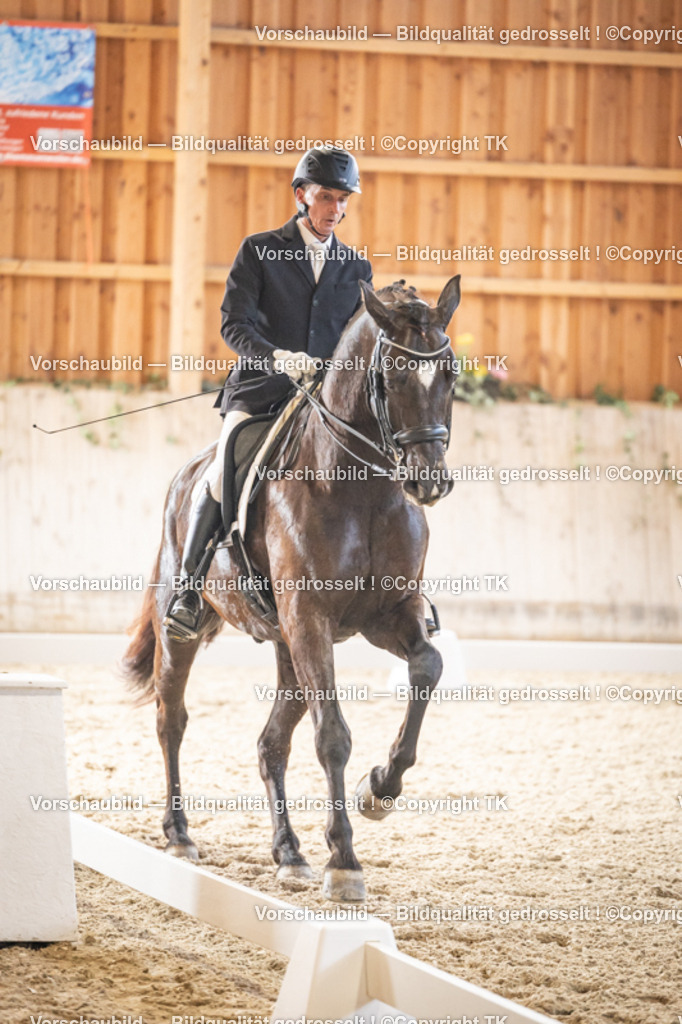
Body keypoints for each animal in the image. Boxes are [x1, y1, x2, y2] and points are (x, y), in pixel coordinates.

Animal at [122, 274, 461, 903]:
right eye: (393, 377)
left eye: (450, 373)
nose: (428, 481)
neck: (361, 489)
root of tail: (185, 476)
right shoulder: (311, 620)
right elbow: (333, 737)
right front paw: (345, 862)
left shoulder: (387, 614)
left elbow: (428, 668)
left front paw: (380, 789)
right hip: (186, 631)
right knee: (170, 719)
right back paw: (179, 835)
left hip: (287, 646)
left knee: (270, 742)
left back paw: (289, 852)